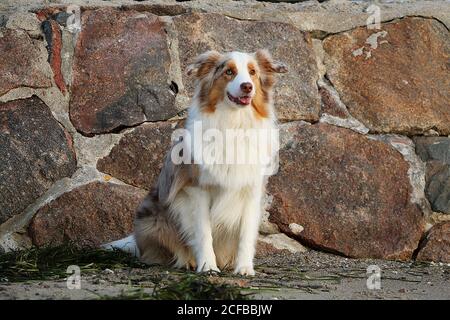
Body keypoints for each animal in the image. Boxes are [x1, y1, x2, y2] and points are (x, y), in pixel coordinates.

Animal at [128, 49, 286, 276]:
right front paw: (207, 266)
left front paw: (244, 268)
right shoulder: (197, 190)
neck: (234, 124)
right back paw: (188, 261)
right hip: (154, 219)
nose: (247, 86)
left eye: (253, 72)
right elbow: (203, 233)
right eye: (229, 72)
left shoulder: (252, 190)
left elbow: (246, 234)